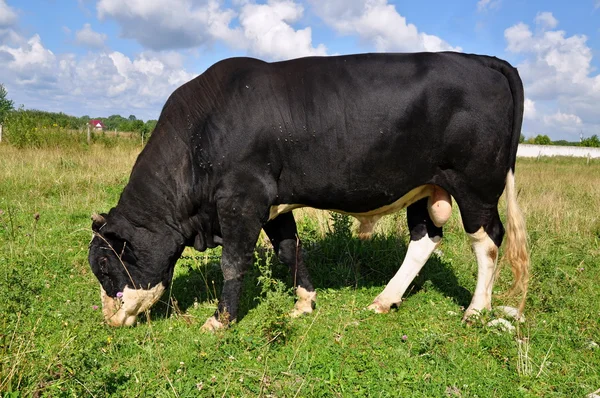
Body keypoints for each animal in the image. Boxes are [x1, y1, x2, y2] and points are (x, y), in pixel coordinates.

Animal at [86, 51, 528, 328]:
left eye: (105, 265)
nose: (109, 319)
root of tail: (481, 60)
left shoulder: (241, 198)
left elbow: (234, 261)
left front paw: (219, 320)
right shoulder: (272, 204)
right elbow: (289, 250)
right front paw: (304, 303)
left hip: (475, 185)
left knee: (489, 240)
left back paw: (475, 310)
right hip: (426, 187)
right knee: (425, 238)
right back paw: (385, 300)